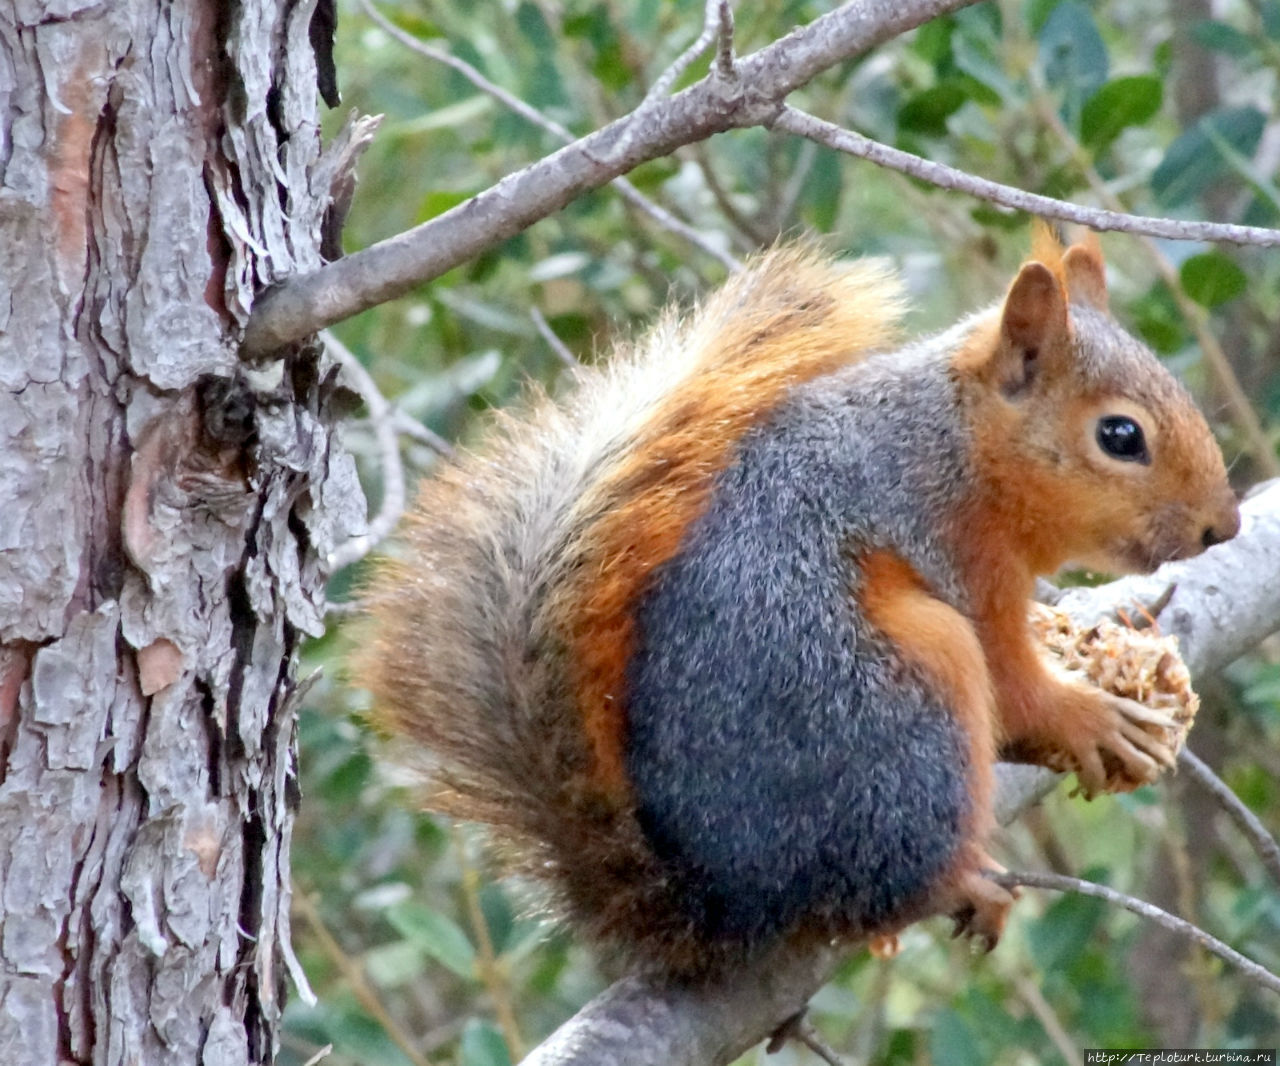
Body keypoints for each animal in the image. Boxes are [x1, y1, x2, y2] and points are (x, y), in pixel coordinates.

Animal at [353, 232, 1239, 982]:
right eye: (1120, 436)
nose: (1222, 528)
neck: (956, 444)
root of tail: (735, 901)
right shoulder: (959, 561)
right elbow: (1015, 687)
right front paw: (1090, 717)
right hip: (905, 690)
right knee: (889, 874)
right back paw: (955, 881)